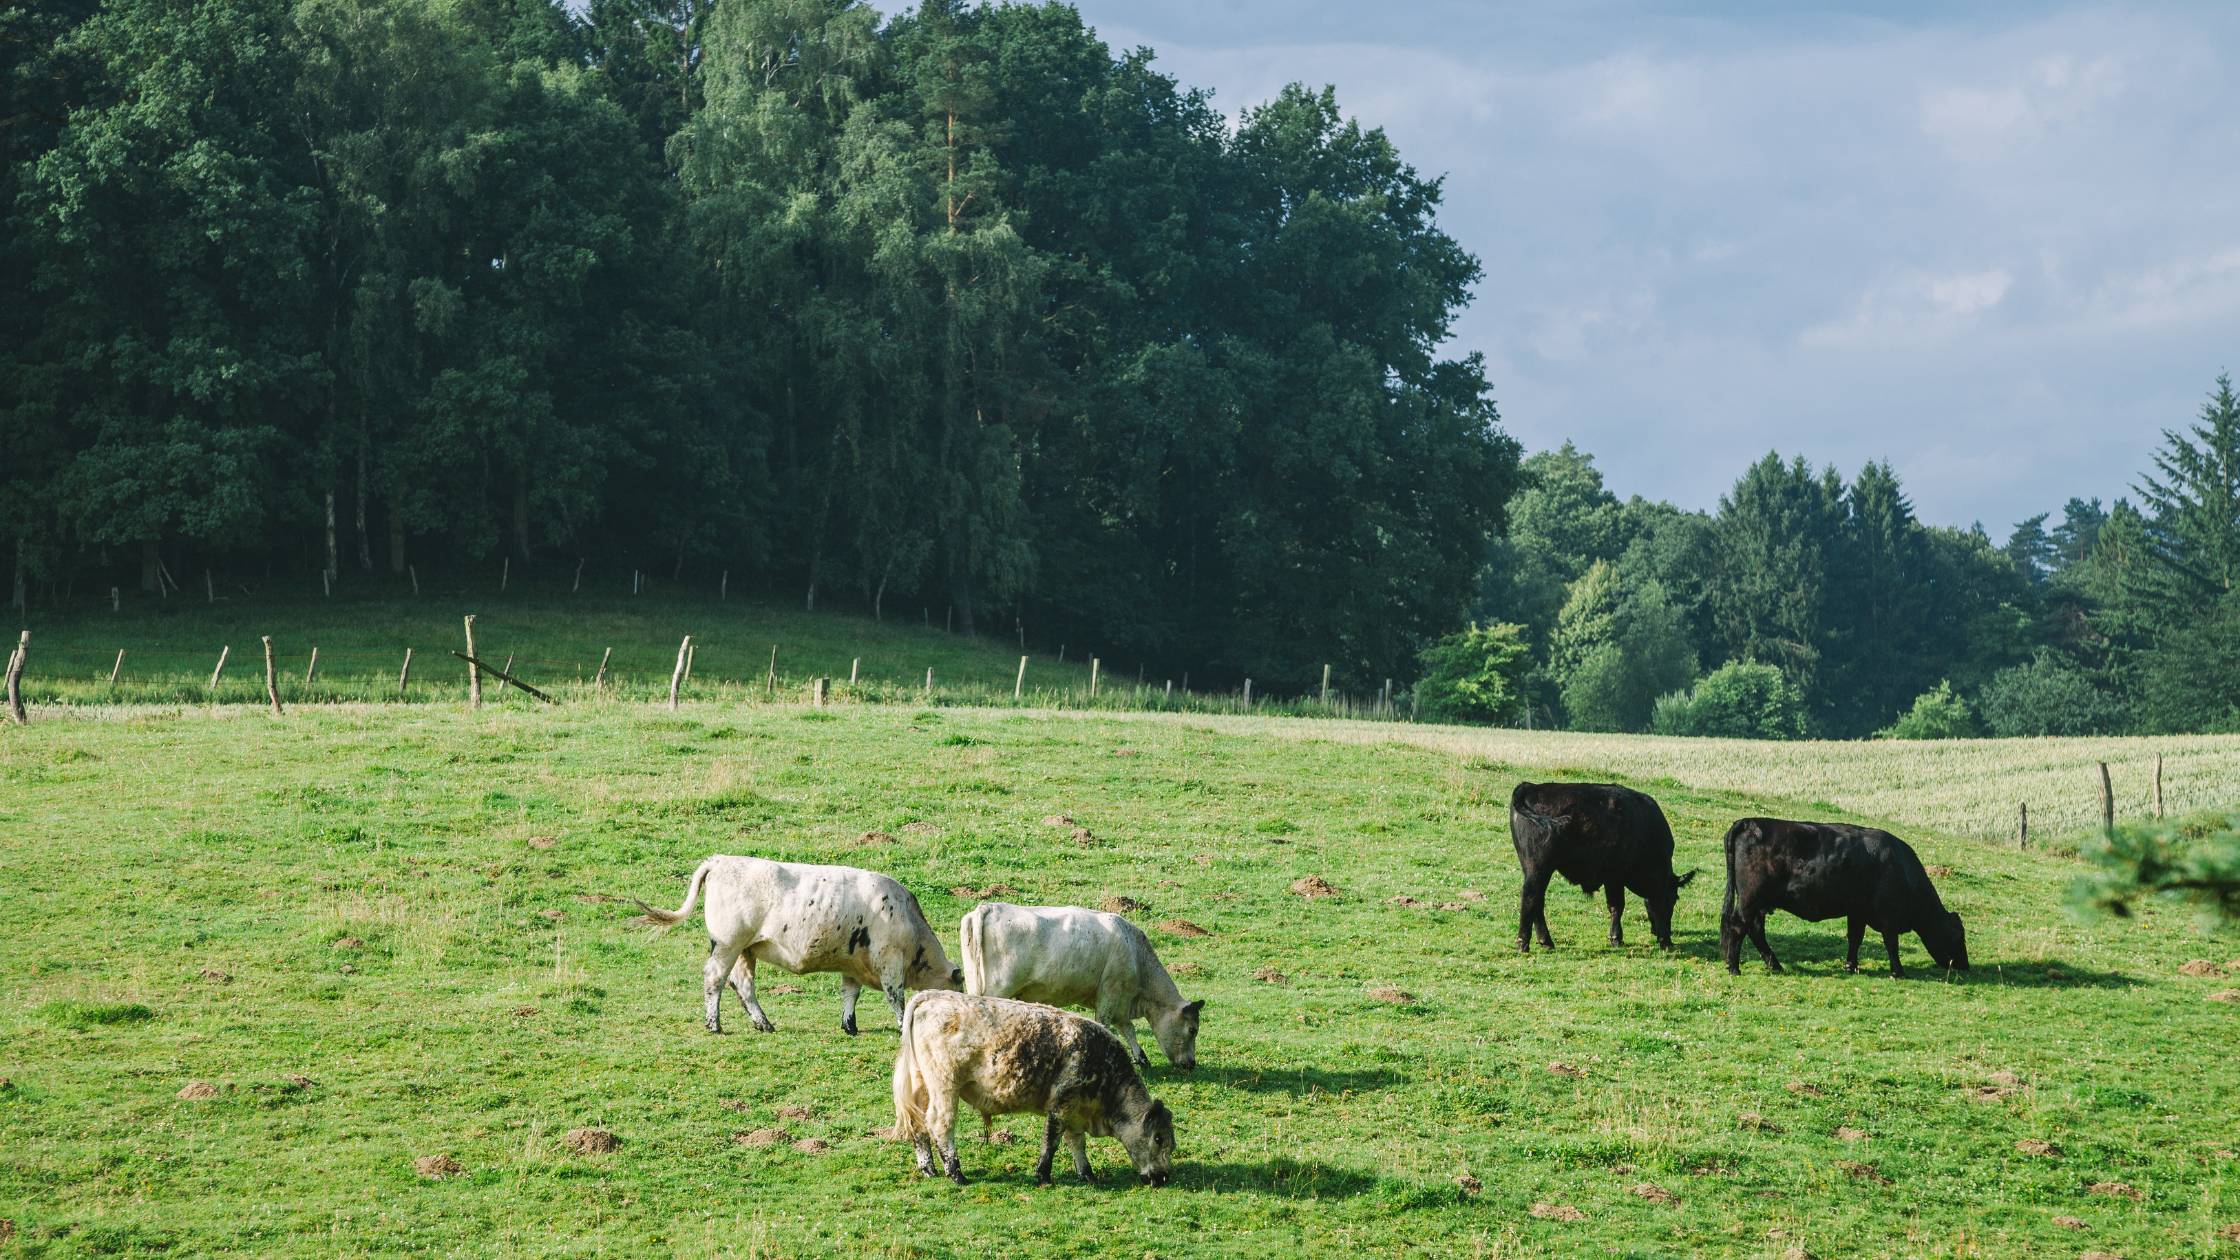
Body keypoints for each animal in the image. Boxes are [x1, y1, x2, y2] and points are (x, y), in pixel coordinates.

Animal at [631, 855, 962, 1035]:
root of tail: (721, 860)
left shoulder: (852, 964)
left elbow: (850, 995)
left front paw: (850, 1026)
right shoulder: (889, 962)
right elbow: (896, 998)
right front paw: (902, 1026)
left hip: (745, 951)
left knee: (743, 985)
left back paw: (763, 1023)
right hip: (728, 944)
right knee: (715, 978)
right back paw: (714, 1025)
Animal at [892, 990, 1176, 1187]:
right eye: (1158, 1138)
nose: (1162, 1177)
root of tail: (933, 995)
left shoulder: (1075, 1111)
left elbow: (1076, 1142)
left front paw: (1087, 1174)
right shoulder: (1062, 1105)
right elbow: (1052, 1141)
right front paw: (1043, 1175)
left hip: (921, 1086)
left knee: (918, 1125)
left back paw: (928, 1168)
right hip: (945, 1085)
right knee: (941, 1123)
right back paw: (956, 1173)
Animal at [958, 902, 1202, 1071]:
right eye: (1193, 1029)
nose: (1191, 1064)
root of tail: (989, 907)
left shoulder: (1119, 1002)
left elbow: (1128, 1029)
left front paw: (1141, 1058)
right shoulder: (1110, 993)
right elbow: (1106, 1025)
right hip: (997, 990)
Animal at [1508, 781, 1697, 952]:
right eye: (1672, 899)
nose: (1666, 939)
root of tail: (1531, 786)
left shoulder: (1612, 878)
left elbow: (1614, 906)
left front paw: (1616, 938)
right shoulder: (1618, 877)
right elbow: (1619, 905)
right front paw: (1618, 938)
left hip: (1532, 868)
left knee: (1537, 902)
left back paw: (1545, 941)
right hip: (1539, 868)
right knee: (1530, 898)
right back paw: (1523, 944)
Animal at [1720, 818, 1969, 977]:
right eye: (1959, 936)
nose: (1965, 966)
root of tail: (1748, 822)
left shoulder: (1857, 911)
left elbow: (1855, 938)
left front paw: (1851, 966)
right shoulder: (1888, 915)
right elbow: (1891, 943)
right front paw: (1898, 971)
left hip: (1760, 904)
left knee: (1755, 931)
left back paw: (1776, 966)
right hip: (1750, 900)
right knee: (1739, 927)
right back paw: (1734, 968)